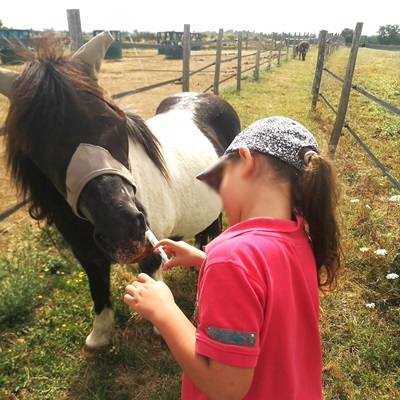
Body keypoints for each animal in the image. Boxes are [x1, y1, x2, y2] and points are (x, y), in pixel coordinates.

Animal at [0, 32, 241, 356]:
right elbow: (98, 289)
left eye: (112, 120)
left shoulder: (149, 248)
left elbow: (151, 277)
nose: (122, 231)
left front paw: (161, 325)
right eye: (38, 146)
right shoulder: (87, 255)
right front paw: (99, 336)